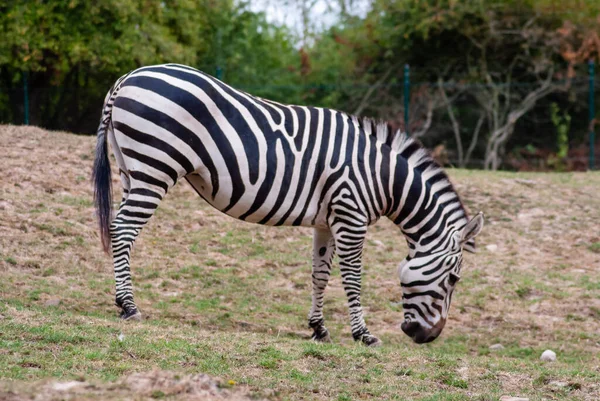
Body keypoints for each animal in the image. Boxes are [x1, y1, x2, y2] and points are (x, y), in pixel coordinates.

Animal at [92, 64, 482, 346]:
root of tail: (127, 78)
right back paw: (128, 305)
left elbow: (320, 274)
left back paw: (122, 301)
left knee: (118, 228)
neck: (382, 177)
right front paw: (363, 334)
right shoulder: (351, 215)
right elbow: (353, 277)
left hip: (131, 170)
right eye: (453, 279)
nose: (428, 338)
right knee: (123, 230)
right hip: (154, 166)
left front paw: (318, 329)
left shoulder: (328, 221)